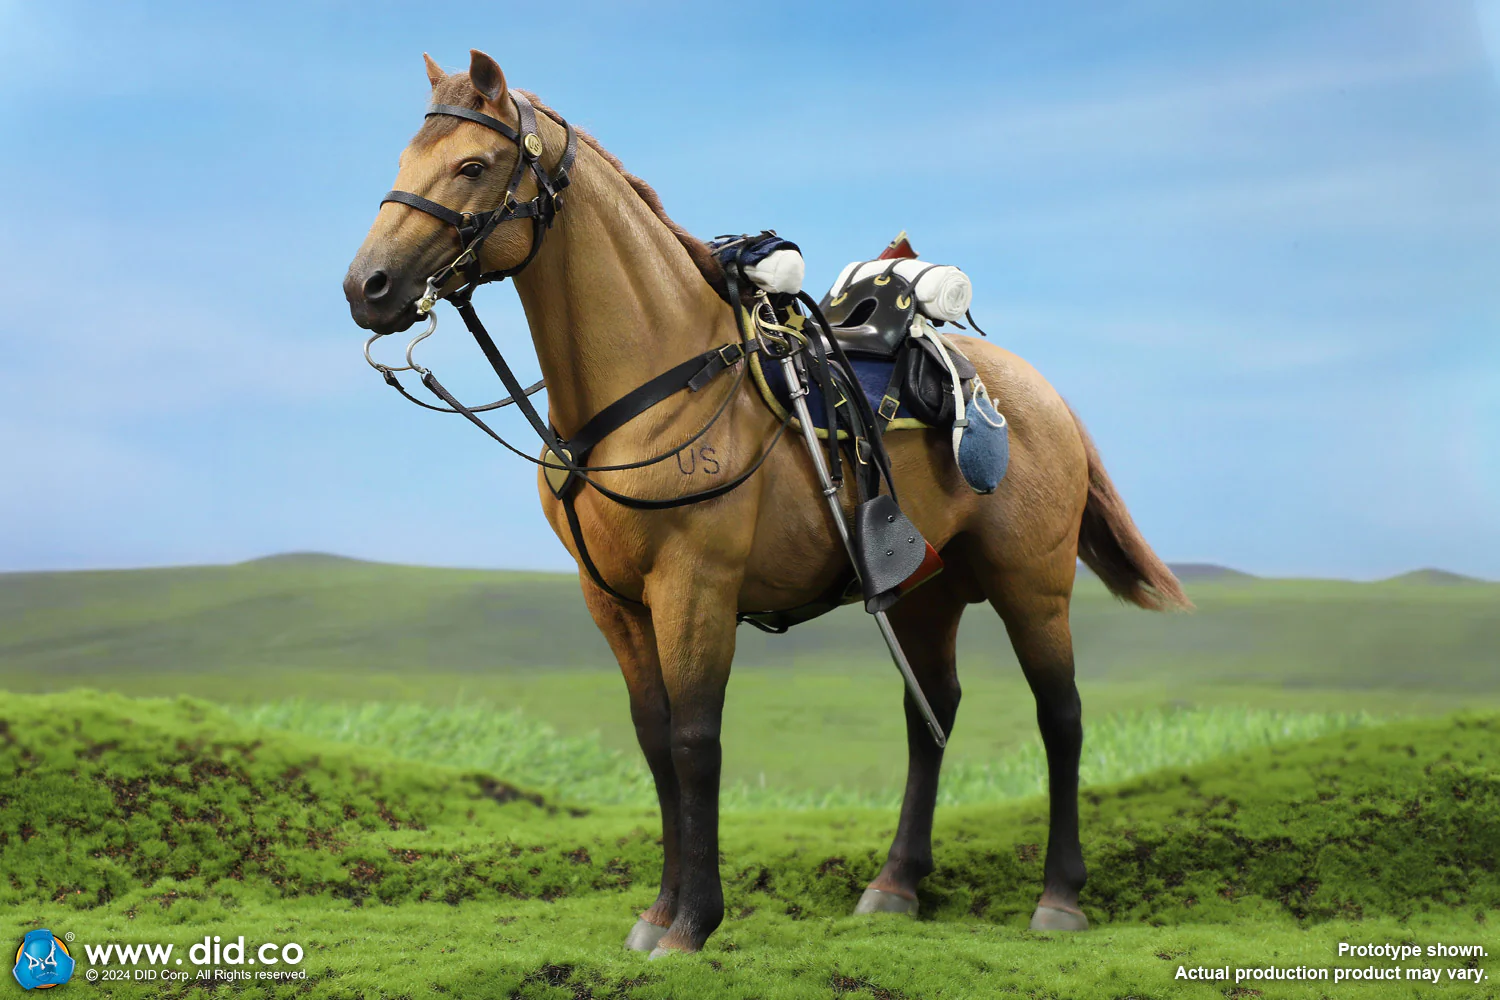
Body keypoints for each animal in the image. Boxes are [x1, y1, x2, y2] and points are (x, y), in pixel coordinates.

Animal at [344, 49, 1190, 957]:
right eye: (406, 160)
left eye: (473, 164)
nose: (367, 286)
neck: (650, 385)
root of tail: (1043, 393)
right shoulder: (613, 601)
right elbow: (653, 741)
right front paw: (658, 913)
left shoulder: (696, 586)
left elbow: (695, 740)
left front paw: (691, 925)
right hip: (923, 594)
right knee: (930, 713)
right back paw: (895, 884)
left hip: (1032, 584)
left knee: (1060, 715)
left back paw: (1059, 897)